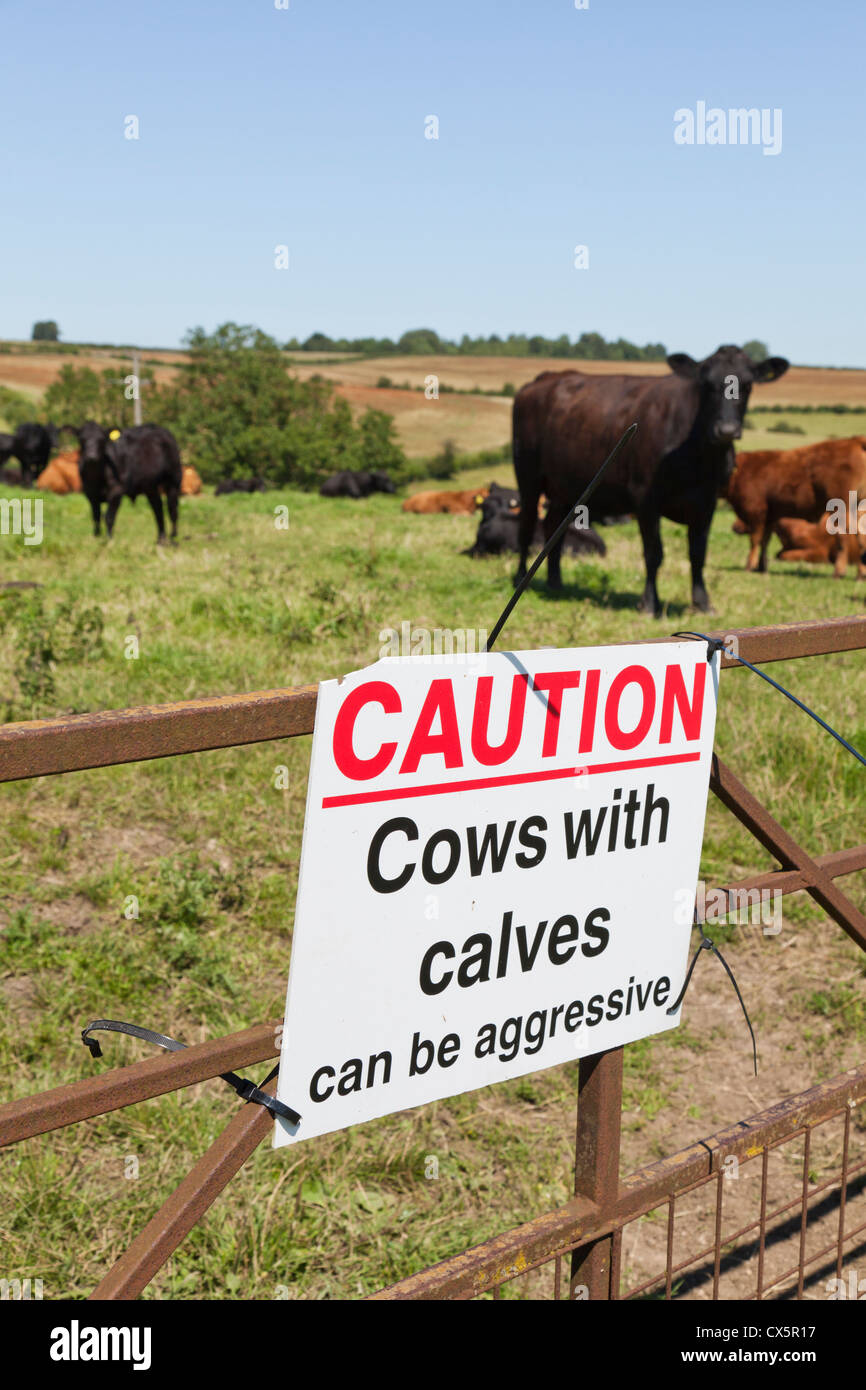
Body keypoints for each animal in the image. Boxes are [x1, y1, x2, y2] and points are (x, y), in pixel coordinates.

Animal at [514, 346, 795, 614]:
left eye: (747, 385)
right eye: (706, 385)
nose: (726, 430)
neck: (698, 455)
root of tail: (546, 377)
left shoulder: (707, 503)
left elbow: (698, 553)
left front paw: (702, 603)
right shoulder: (646, 499)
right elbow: (653, 553)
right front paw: (650, 603)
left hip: (565, 488)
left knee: (553, 527)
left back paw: (555, 581)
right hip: (528, 478)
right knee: (527, 526)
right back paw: (520, 578)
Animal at [728, 433, 866, 575]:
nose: (734, 526)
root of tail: (854, 441)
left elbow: (761, 542)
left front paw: (751, 565)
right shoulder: (769, 517)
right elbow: (765, 542)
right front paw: (761, 566)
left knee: (845, 536)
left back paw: (839, 571)